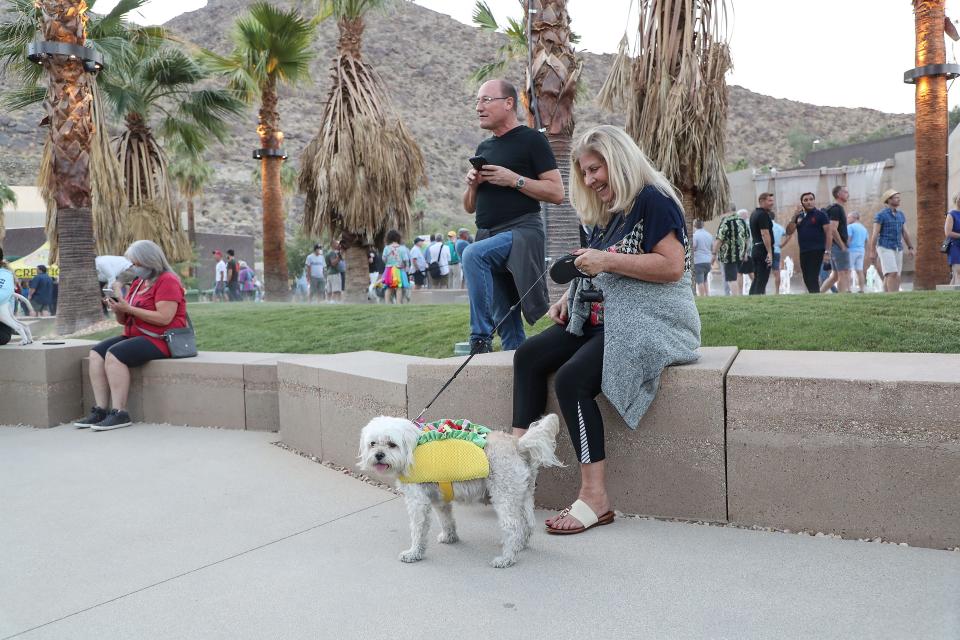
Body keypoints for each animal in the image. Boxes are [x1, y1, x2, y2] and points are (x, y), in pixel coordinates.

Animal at [360, 418, 564, 568]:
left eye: (392, 444)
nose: (379, 455)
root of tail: (517, 444)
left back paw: (506, 558)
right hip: (523, 494)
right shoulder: (440, 500)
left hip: (504, 494)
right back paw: (519, 546)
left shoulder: (417, 502)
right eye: (372, 444)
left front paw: (414, 553)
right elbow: (446, 519)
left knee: (512, 526)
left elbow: (418, 529)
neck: (412, 449)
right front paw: (450, 537)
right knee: (528, 523)